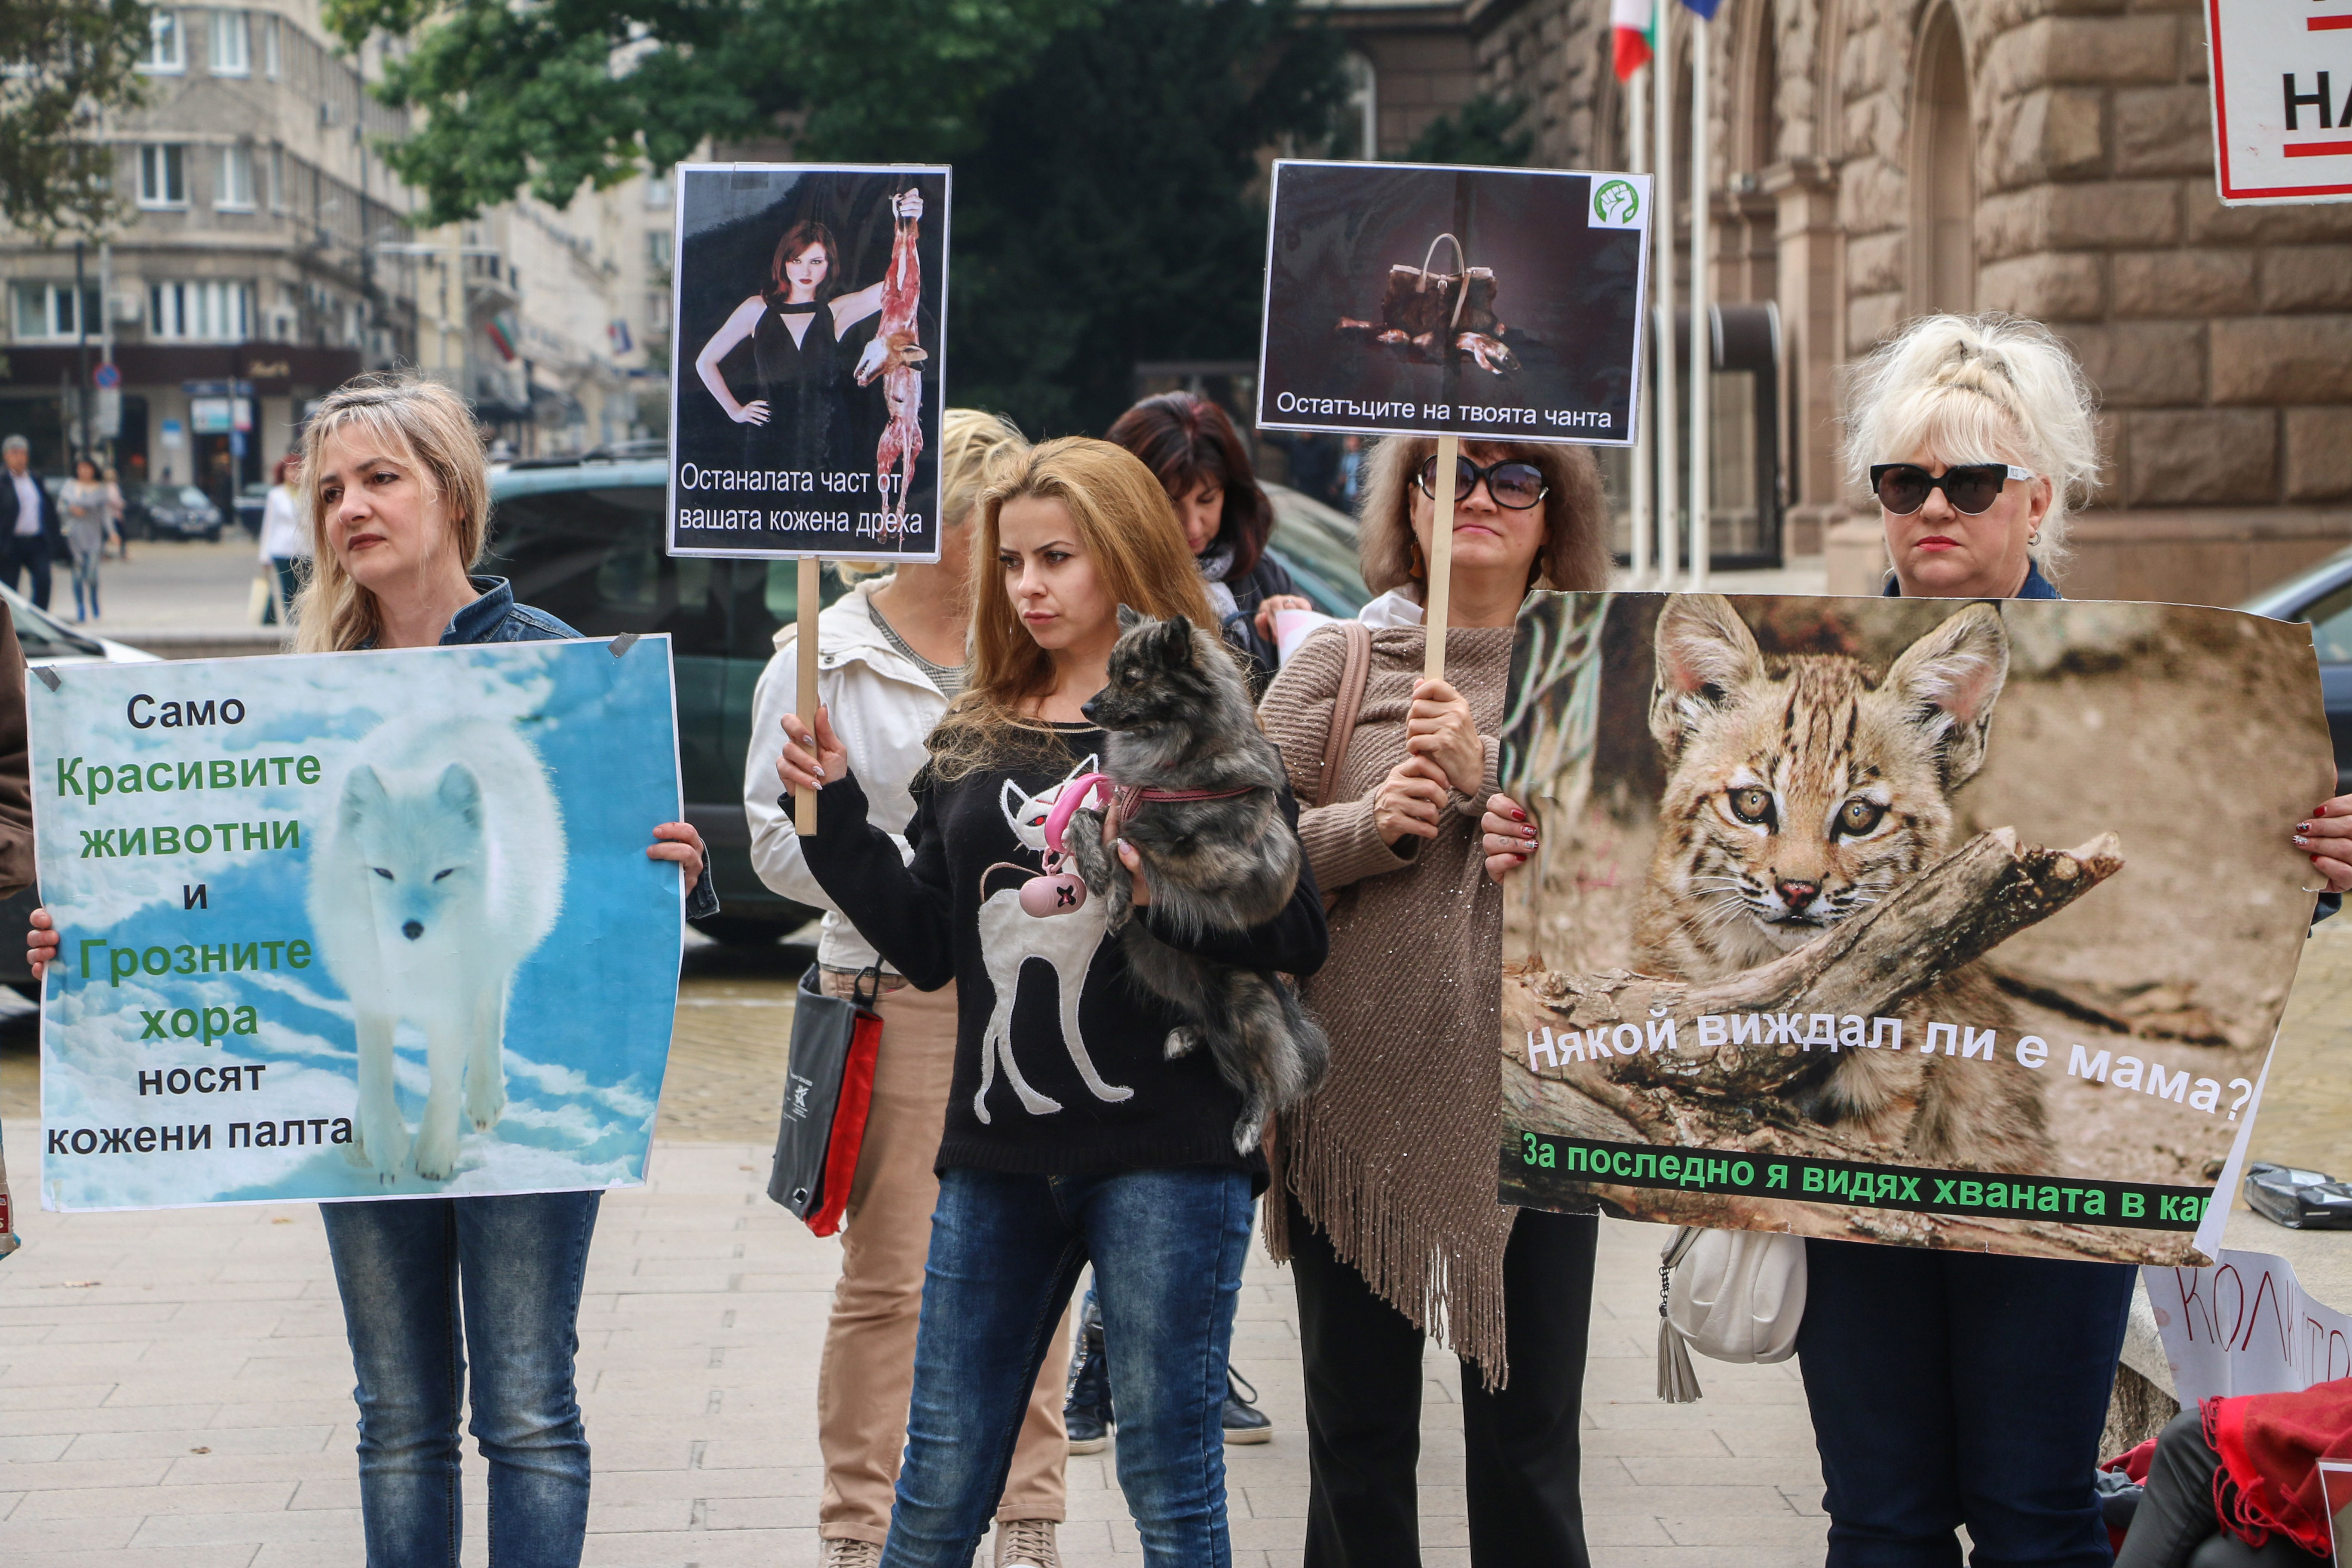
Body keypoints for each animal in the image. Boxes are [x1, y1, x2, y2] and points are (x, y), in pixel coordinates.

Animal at [306, 710, 567, 1175]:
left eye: (443, 874)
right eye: (383, 872)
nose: (412, 928)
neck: (412, 963)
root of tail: (454, 714)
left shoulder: (450, 1007)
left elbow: (444, 1081)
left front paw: (435, 1155)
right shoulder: (370, 998)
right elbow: (374, 1078)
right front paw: (385, 1144)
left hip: (495, 956)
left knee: (491, 1009)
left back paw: (485, 1093)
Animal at [1063, 606, 1326, 1161]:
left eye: (1132, 678)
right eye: (1108, 673)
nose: (1086, 705)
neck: (1174, 758)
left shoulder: (1215, 860)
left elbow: (1134, 849)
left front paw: (1117, 895)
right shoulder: (1120, 808)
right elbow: (1086, 817)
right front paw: (1094, 867)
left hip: (1242, 1003)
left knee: (1267, 1075)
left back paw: (1250, 1124)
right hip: (1164, 972)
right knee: (1207, 1025)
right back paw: (1185, 1036)